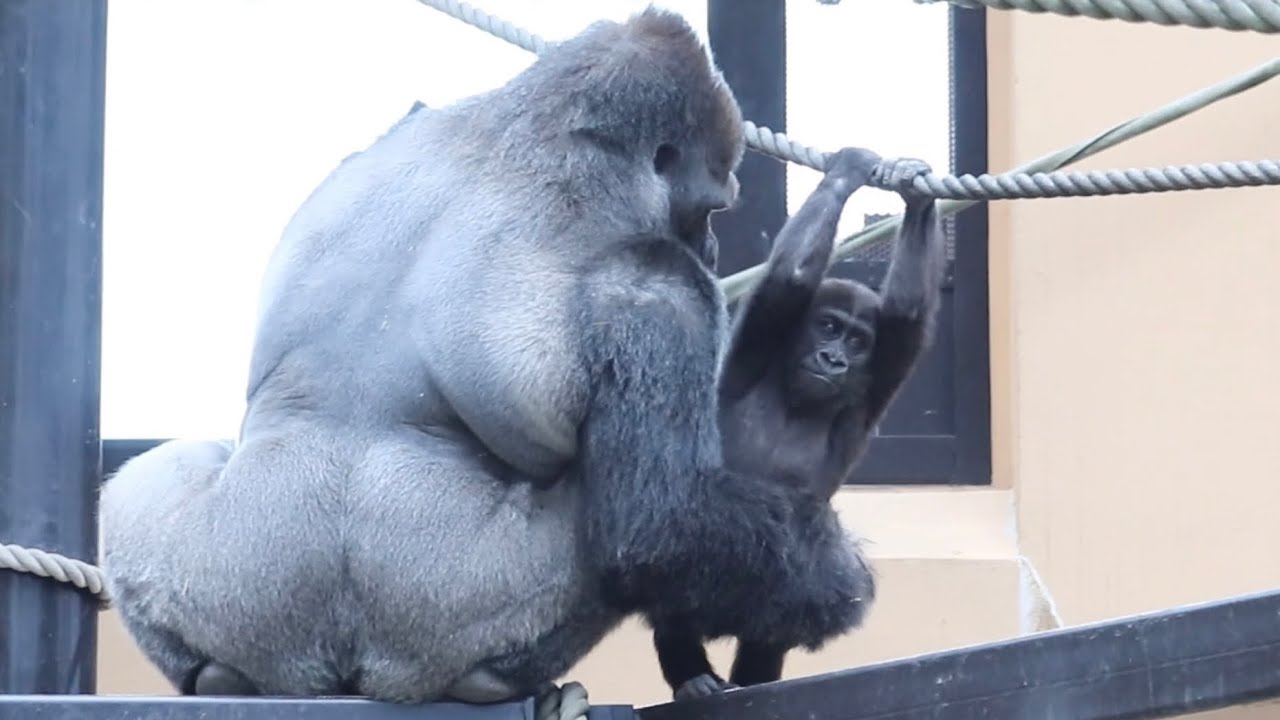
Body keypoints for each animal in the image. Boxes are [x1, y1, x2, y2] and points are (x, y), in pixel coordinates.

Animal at [98, 8, 845, 704]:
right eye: (710, 207)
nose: (715, 249)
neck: (535, 127)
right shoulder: (659, 282)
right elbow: (663, 527)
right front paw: (831, 581)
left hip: (233, 586)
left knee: (150, 479)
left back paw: (216, 674)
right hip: (437, 621)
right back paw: (495, 682)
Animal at [649, 149, 947, 701]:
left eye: (857, 341)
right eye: (828, 327)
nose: (833, 358)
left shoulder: (881, 369)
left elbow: (908, 307)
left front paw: (915, 194)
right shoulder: (761, 332)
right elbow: (791, 276)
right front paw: (848, 170)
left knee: (775, 623)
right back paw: (692, 676)